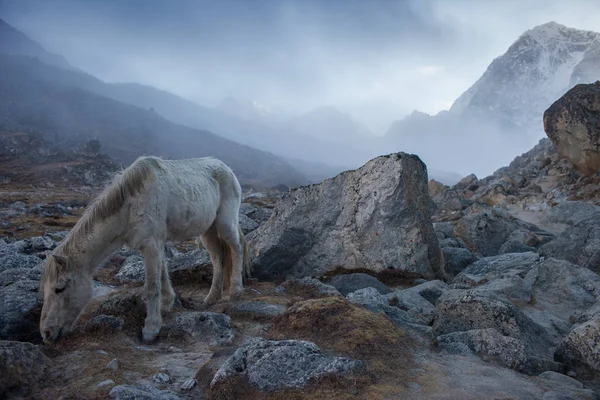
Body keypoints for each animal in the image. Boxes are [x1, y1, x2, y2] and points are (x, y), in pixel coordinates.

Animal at [39, 156, 251, 344]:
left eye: (59, 288)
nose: (46, 334)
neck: (130, 205)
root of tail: (227, 169)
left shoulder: (151, 245)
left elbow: (151, 287)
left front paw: (151, 329)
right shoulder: (156, 245)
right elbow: (163, 275)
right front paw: (166, 304)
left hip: (225, 224)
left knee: (237, 249)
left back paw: (236, 291)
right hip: (207, 231)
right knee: (218, 259)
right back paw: (210, 299)